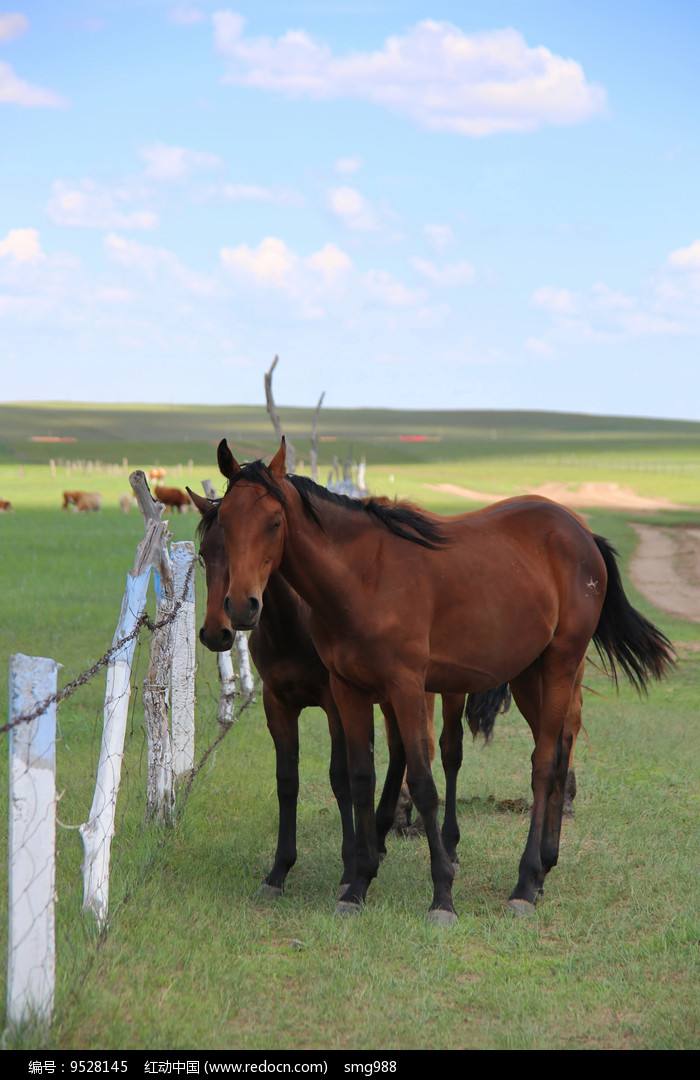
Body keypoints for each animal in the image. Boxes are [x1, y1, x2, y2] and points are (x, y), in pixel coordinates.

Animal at [189, 488, 505, 894]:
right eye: (205, 554)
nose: (218, 631)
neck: (293, 622)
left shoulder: (334, 701)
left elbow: (341, 777)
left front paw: (349, 865)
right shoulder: (278, 703)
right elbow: (288, 780)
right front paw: (280, 870)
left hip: (440, 690)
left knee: (448, 752)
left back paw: (446, 845)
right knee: (400, 752)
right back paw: (382, 833)